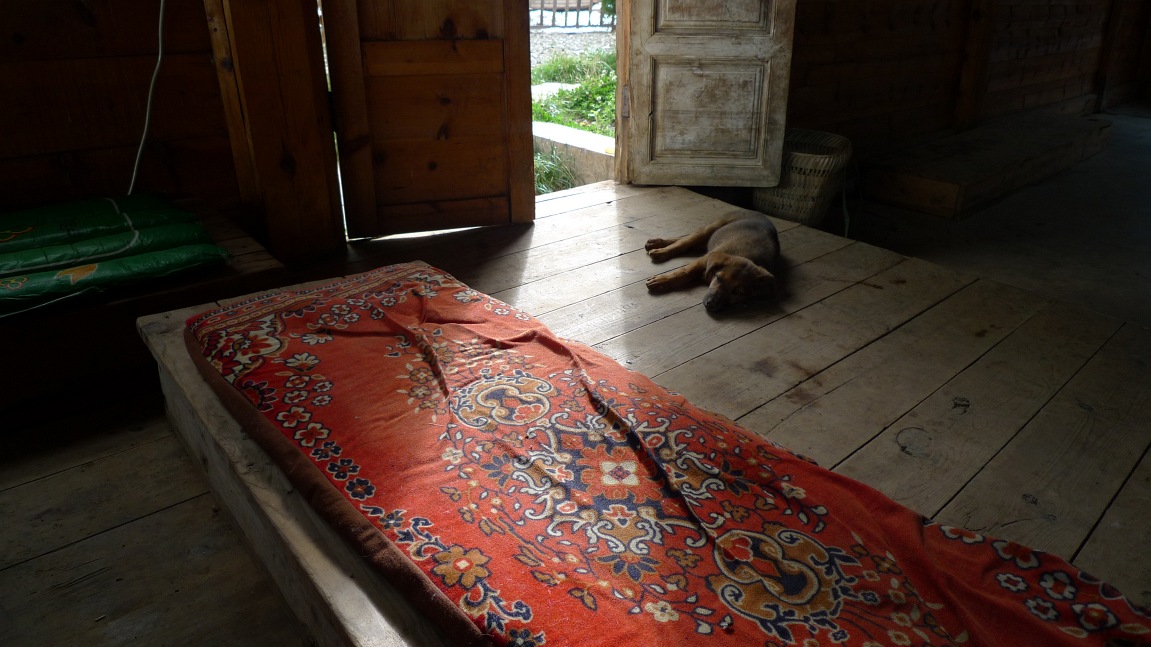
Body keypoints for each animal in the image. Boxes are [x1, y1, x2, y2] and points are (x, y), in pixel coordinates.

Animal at [644, 208, 780, 312]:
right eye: (719, 278)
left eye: (738, 293)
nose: (711, 304)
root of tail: (755, 211)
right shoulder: (702, 260)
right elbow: (684, 271)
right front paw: (661, 280)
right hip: (712, 227)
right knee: (685, 242)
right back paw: (660, 250)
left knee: (686, 242)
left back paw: (656, 244)